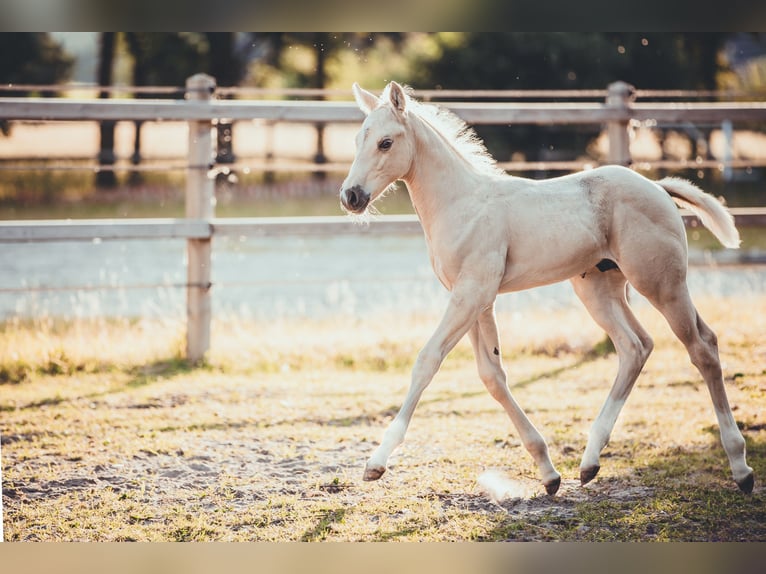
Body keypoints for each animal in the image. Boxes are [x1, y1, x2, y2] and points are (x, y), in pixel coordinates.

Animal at [339, 81, 754, 495]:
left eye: (386, 143)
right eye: (358, 139)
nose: (350, 196)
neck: (462, 204)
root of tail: (657, 186)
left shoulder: (472, 293)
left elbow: (428, 361)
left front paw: (376, 462)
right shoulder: (475, 300)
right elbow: (492, 376)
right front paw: (548, 472)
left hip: (662, 284)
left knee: (702, 348)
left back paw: (741, 468)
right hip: (599, 289)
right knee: (637, 346)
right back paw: (589, 463)